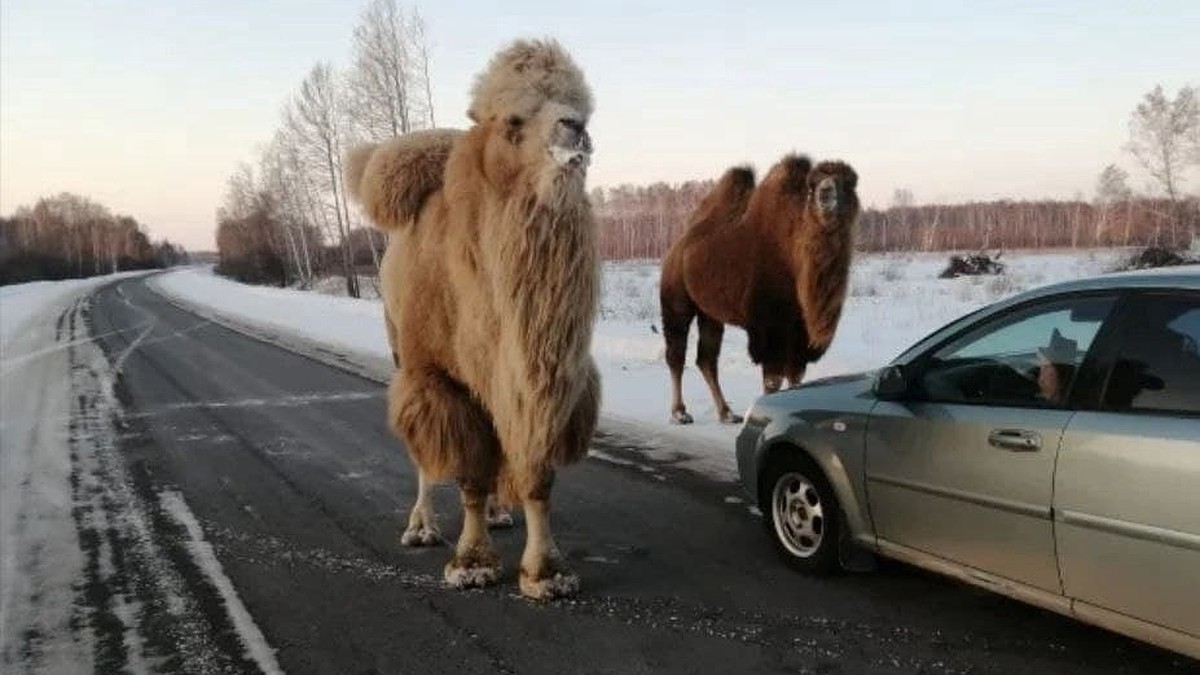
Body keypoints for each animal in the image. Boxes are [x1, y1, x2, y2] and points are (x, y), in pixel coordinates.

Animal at [343, 36, 600, 595]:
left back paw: (502, 512)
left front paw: (546, 573)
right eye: (513, 120)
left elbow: (536, 474)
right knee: (424, 454)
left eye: (583, 107)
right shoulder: (444, 378)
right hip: (404, 355)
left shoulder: (544, 380)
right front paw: (472, 563)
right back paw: (421, 527)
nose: (574, 128)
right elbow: (468, 474)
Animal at [657, 154, 864, 422]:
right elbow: (773, 382)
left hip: (709, 313)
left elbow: (796, 379)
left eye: (848, 183)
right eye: (812, 185)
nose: (825, 193)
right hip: (676, 298)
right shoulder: (771, 328)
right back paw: (680, 413)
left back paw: (726, 413)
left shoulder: (799, 334)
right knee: (676, 353)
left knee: (707, 358)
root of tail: (678, 247)